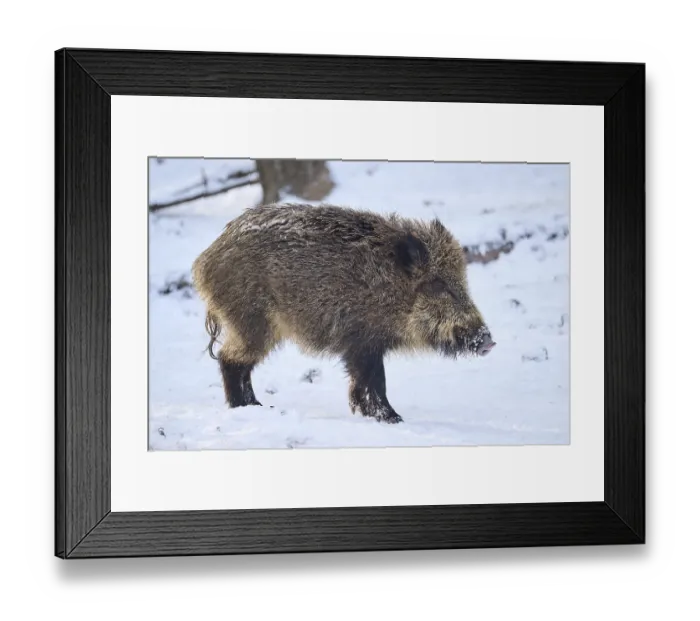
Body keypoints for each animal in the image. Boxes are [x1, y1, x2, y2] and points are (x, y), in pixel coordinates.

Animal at [192, 203, 495, 424]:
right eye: (439, 285)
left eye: (463, 283)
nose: (489, 341)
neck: (393, 290)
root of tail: (204, 260)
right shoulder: (362, 341)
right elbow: (375, 382)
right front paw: (393, 419)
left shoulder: (364, 346)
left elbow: (363, 383)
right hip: (252, 322)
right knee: (229, 359)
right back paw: (248, 407)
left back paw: (258, 406)